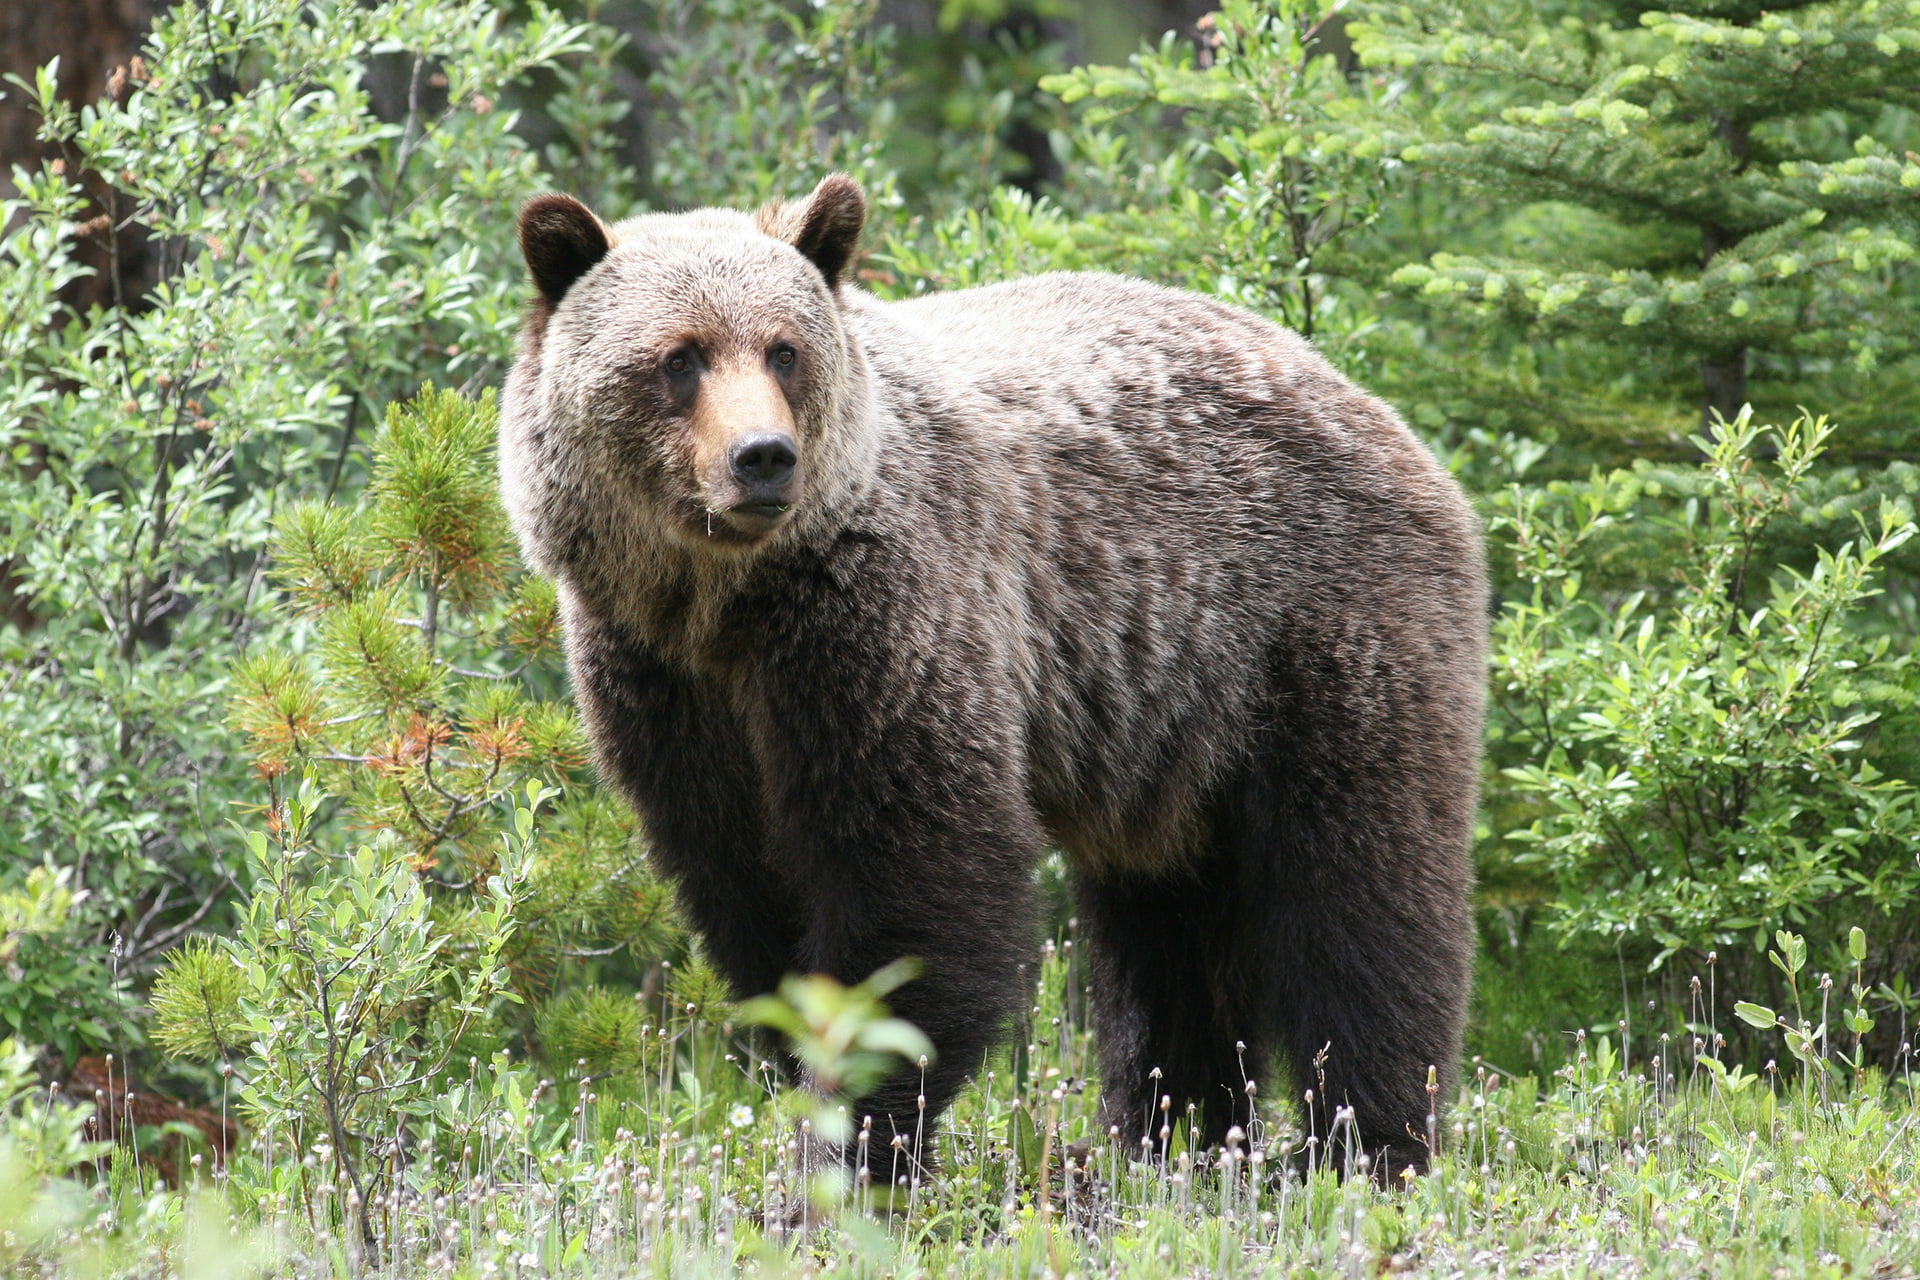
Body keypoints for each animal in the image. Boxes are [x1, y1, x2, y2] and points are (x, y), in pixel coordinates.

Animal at [499, 175, 1482, 1174]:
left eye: (783, 350)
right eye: (680, 358)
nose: (763, 458)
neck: (729, 603)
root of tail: (1380, 410)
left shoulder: (887, 619)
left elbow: (921, 869)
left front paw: (857, 1136)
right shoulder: (665, 684)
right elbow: (747, 884)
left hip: (1314, 630)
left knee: (1357, 889)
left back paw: (1361, 1141)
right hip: (1168, 734)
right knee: (1169, 930)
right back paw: (1164, 1132)